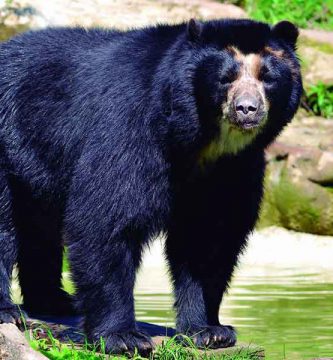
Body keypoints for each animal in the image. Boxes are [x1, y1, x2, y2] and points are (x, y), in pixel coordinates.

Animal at [0, 19, 300, 354]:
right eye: (225, 78)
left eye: (268, 78)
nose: (246, 109)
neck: (202, 142)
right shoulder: (131, 129)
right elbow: (108, 220)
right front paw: (123, 337)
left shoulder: (232, 168)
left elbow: (209, 237)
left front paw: (210, 331)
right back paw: (9, 310)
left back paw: (56, 301)